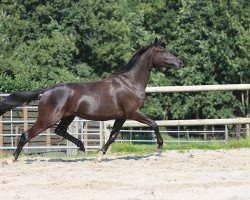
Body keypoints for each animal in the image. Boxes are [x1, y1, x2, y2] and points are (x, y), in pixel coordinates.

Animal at [0, 38, 184, 161]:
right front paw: (159, 147)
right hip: (48, 118)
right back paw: (13, 158)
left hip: (68, 116)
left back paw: (82, 146)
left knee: (60, 131)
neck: (130, 83)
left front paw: (100, 155)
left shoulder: (122, 116)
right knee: (26, 134)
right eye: (162, 51)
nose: (180, 63)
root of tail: (47, 90)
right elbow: (154, 124)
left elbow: (113, 136)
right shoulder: (133, 112)